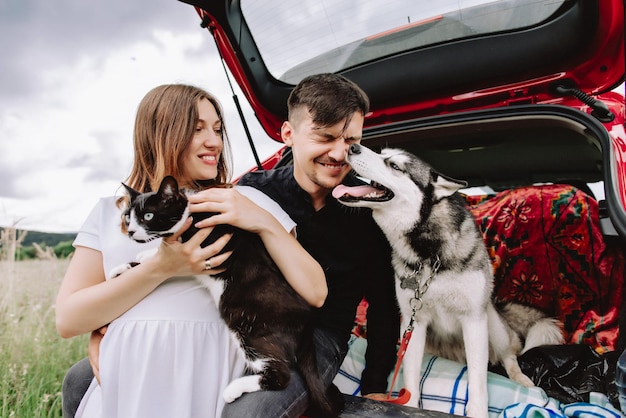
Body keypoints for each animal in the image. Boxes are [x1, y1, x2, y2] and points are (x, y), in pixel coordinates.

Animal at [112, 176, 342, 418]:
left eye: (148, 216)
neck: (191, 213)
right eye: (128, 216)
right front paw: (130, 264)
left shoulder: (200, 251)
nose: (131, 231)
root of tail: (307, 325)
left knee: (281, 375)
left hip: (251, 330)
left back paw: (233, 390)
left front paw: (139, 259)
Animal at [334, 145, 564, 418]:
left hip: (493, 324)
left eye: (396, 166)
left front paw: (478, 412)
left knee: (509, 354)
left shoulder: (473, 321)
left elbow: (477, 380)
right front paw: (410, 407)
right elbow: (411, 375)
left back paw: (521, 379)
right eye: (383, 153)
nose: (352, 146)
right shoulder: (413, 322)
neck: (429, 256)